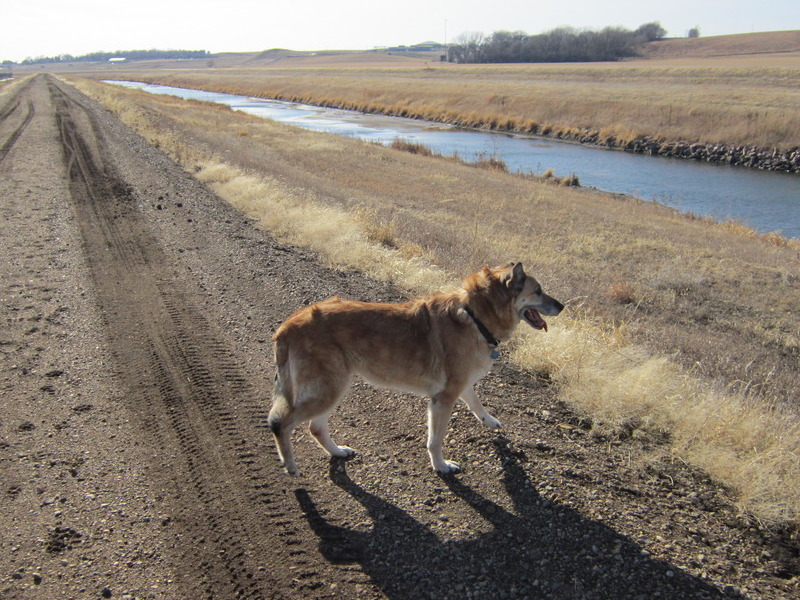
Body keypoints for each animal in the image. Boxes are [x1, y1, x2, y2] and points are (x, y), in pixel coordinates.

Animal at [268, 262, 564, 474]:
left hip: (332, 389)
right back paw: (290, 465)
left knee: (315, 428)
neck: (475, 316)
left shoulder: (459, 386)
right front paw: (441, 466)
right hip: (329, 389)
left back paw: (338, 452)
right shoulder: (443, 399)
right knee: (281, 423)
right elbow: (435, 440)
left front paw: (489, 421)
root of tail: (288, 325)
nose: (562, 306)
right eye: (538, 291)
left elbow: (476, 403)